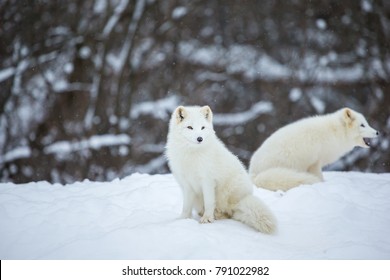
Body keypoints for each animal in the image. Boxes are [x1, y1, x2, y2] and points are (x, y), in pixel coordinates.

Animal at [166, 105, 276, 234]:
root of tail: (244, 198)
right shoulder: (187, 185)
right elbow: (186, 206)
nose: (200, 138)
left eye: (202, 127)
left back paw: (217, 215)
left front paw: (207, 219)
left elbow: (209, 202)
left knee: (230, 213)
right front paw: (183, 219)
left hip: (227, 193)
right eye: (190, 127)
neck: (191, 154)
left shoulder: (207, 181)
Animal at [248, 106, 380, 191]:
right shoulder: (316, 162)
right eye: (362, 125)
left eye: (367, 123)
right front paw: (321, 184)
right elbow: (319, 176)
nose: (377, 132)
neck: (335, 133)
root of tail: (253, 174)